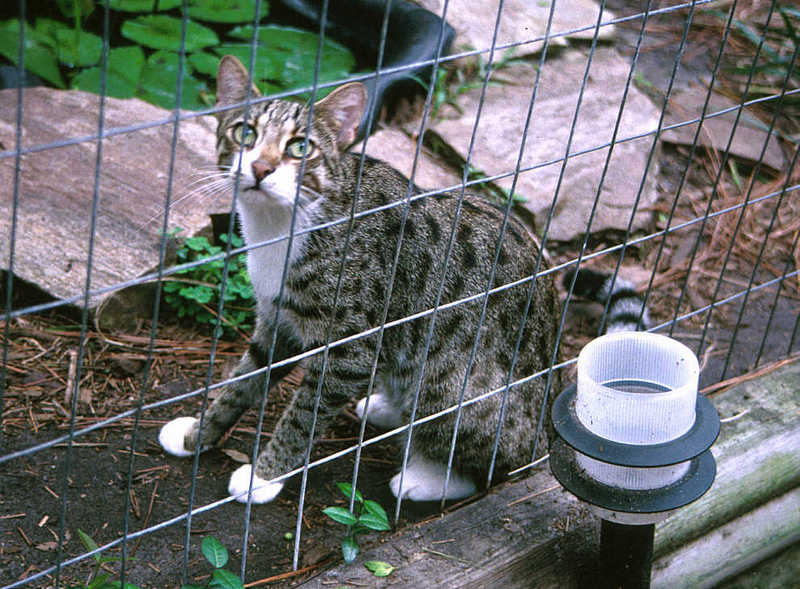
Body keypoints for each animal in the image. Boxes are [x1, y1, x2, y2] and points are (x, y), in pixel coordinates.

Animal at [158, 55, 648, 504]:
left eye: (300, 148)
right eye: (245, 134)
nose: (260, 169)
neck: (281, 226)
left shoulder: (349, 350)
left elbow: (304, 416)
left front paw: (264, 476)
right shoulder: (278, 321)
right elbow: (243, 381)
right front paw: (198, 433)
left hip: (451, 384)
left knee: (493, 459)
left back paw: (426, 478)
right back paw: (384, 407)